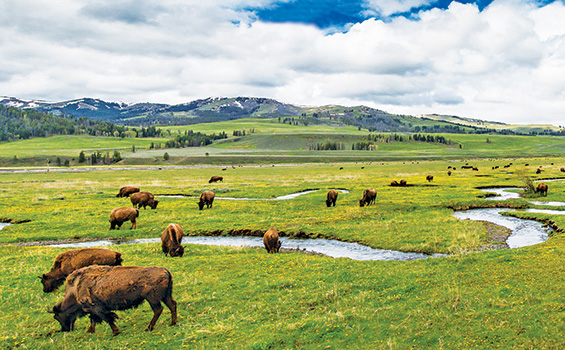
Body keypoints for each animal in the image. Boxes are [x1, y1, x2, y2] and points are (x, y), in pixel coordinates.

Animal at [48, 266, 176, 336]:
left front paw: (115, 331)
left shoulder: (96, 308)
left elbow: (107, 318)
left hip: (152, 298)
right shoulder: (93, 309)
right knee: (172, 305)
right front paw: (90, 331)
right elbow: (93, 319)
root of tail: (165, 271)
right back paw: (173, 323)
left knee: (158, 310)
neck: (75, 289)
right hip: (166, 296)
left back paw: (148, 328)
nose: (65, 329)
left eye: (57, 316)